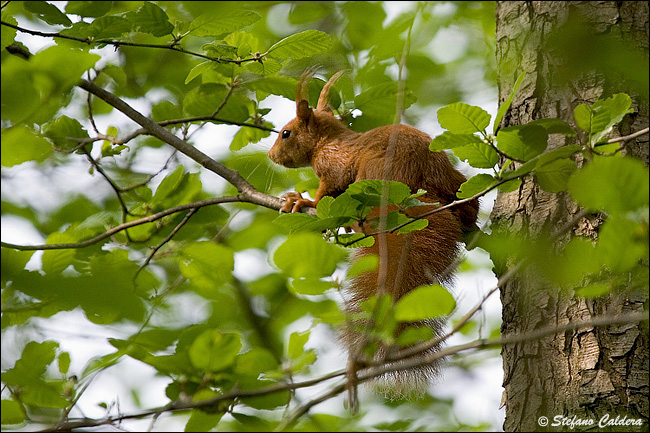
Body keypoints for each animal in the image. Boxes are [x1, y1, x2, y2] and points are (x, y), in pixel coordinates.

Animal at [266, 69, 478, 396]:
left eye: (286, 133)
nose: (271, 154)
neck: (329, 141)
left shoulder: (334, 167)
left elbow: (326, 192)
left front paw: (303, 201)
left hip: (371, 174)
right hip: (455, 181)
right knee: (470, 204)